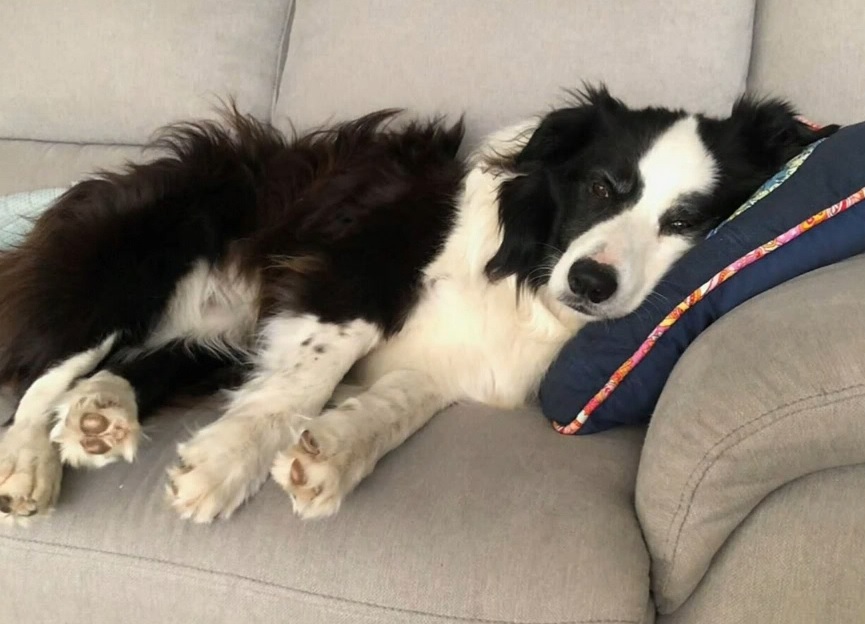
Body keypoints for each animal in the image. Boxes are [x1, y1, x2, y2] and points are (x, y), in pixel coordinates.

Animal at [0, 85, 832, 520]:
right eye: (602, 188)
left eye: (688, 222)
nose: (591, 285)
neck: (526, 272)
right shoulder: (353, 261)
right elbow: (309, 373)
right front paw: (227, 463)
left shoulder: (453, 361)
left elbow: (397, 406)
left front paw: (328, 457)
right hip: (139, 257)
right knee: (45, 372)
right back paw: (31, 461)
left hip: (200, 337)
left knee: (125, 369)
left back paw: (101, 416)